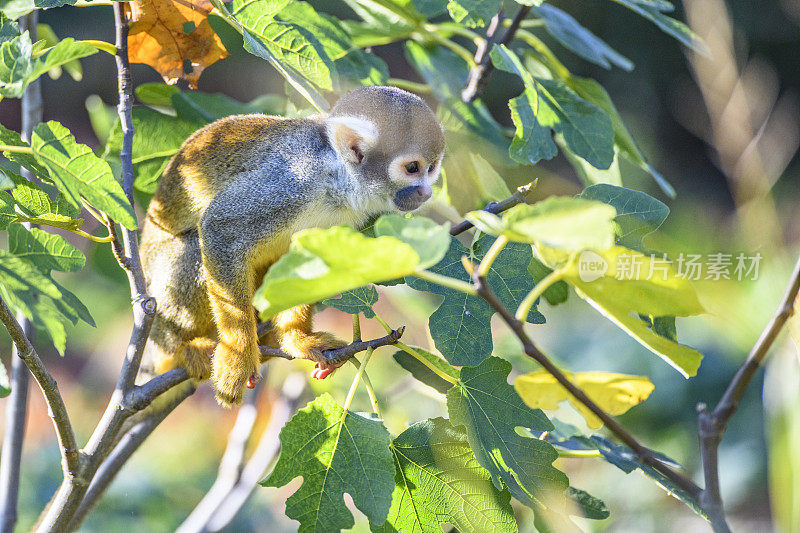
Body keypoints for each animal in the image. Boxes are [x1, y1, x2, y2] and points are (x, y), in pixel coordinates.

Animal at [141, 86, 446, 404]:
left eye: (432, 168)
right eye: (412, 168)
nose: (427, 192)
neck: (340, 179)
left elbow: (307, 264)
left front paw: (297, 340)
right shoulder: (291, 181)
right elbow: (220, 226)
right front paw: (238, 356)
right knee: (192, 252)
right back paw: (178, 353)